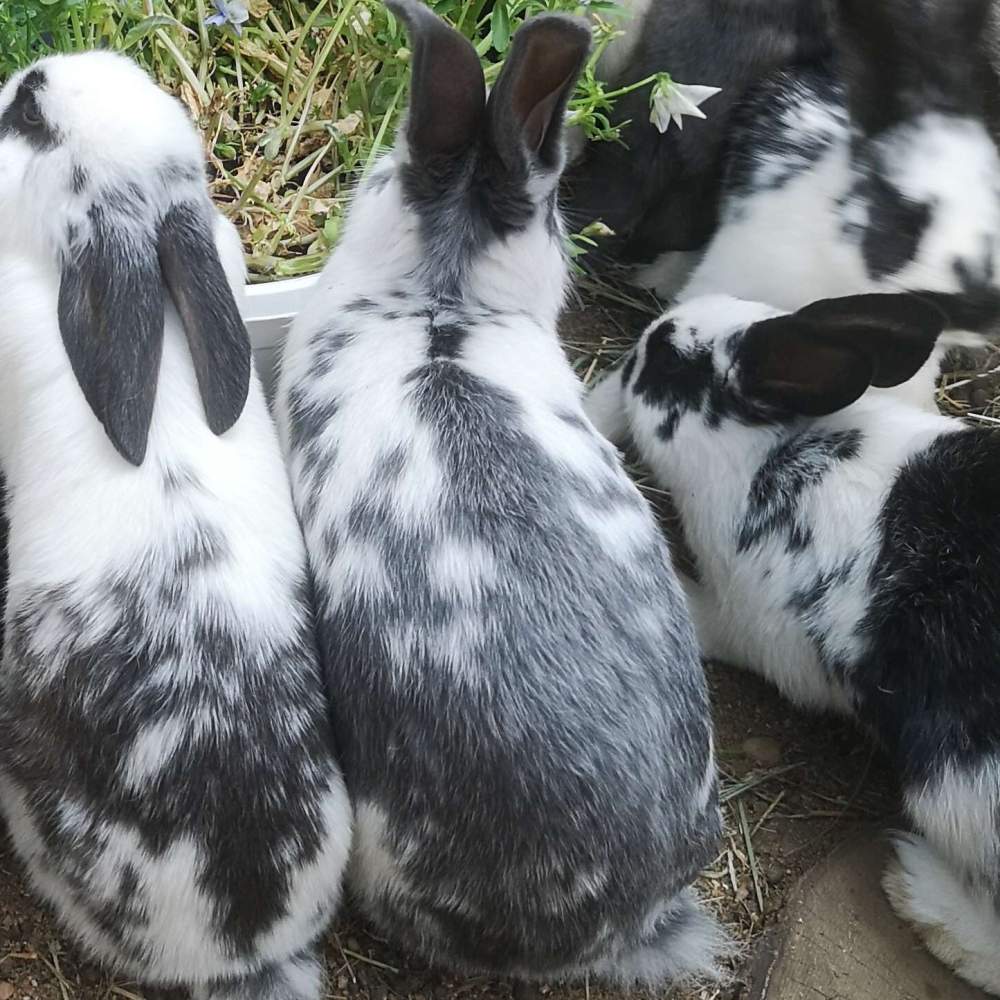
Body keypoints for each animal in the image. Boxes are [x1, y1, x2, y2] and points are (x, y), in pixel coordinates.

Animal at [586, 289, 1000, 995]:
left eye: (669, 360)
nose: (642, 342)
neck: (776, 451)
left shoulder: (751, 624)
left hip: (953, 790)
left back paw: (918, 889)